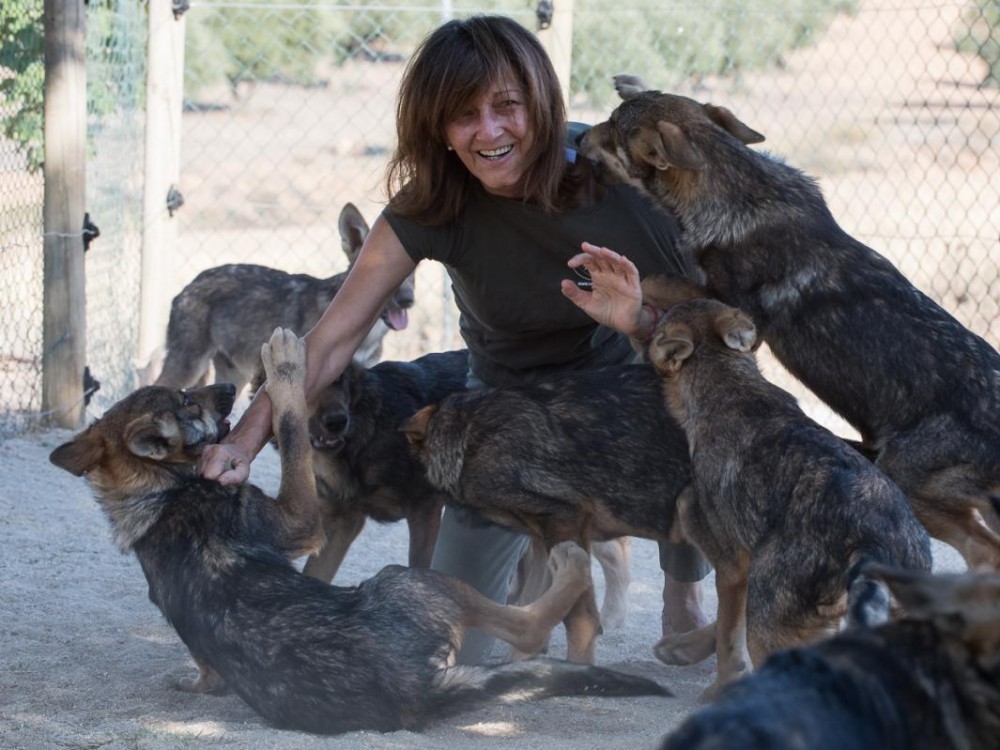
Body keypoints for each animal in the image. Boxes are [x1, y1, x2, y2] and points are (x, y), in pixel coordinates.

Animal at [579, 83, 1000, 572]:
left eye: (613, 129)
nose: (580, 138)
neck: (736, 189)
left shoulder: (733, 310)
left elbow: (653, 280)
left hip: (910, 481)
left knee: (984, 550)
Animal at [639, 284, 931, 696]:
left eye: (664, 318)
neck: (728, 381)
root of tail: (872, 543)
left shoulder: (730, 563)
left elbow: (728, 635)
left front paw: (720, 685)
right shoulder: (746, 567)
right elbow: (723, 627)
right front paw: (683, 649)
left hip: (771, 625)